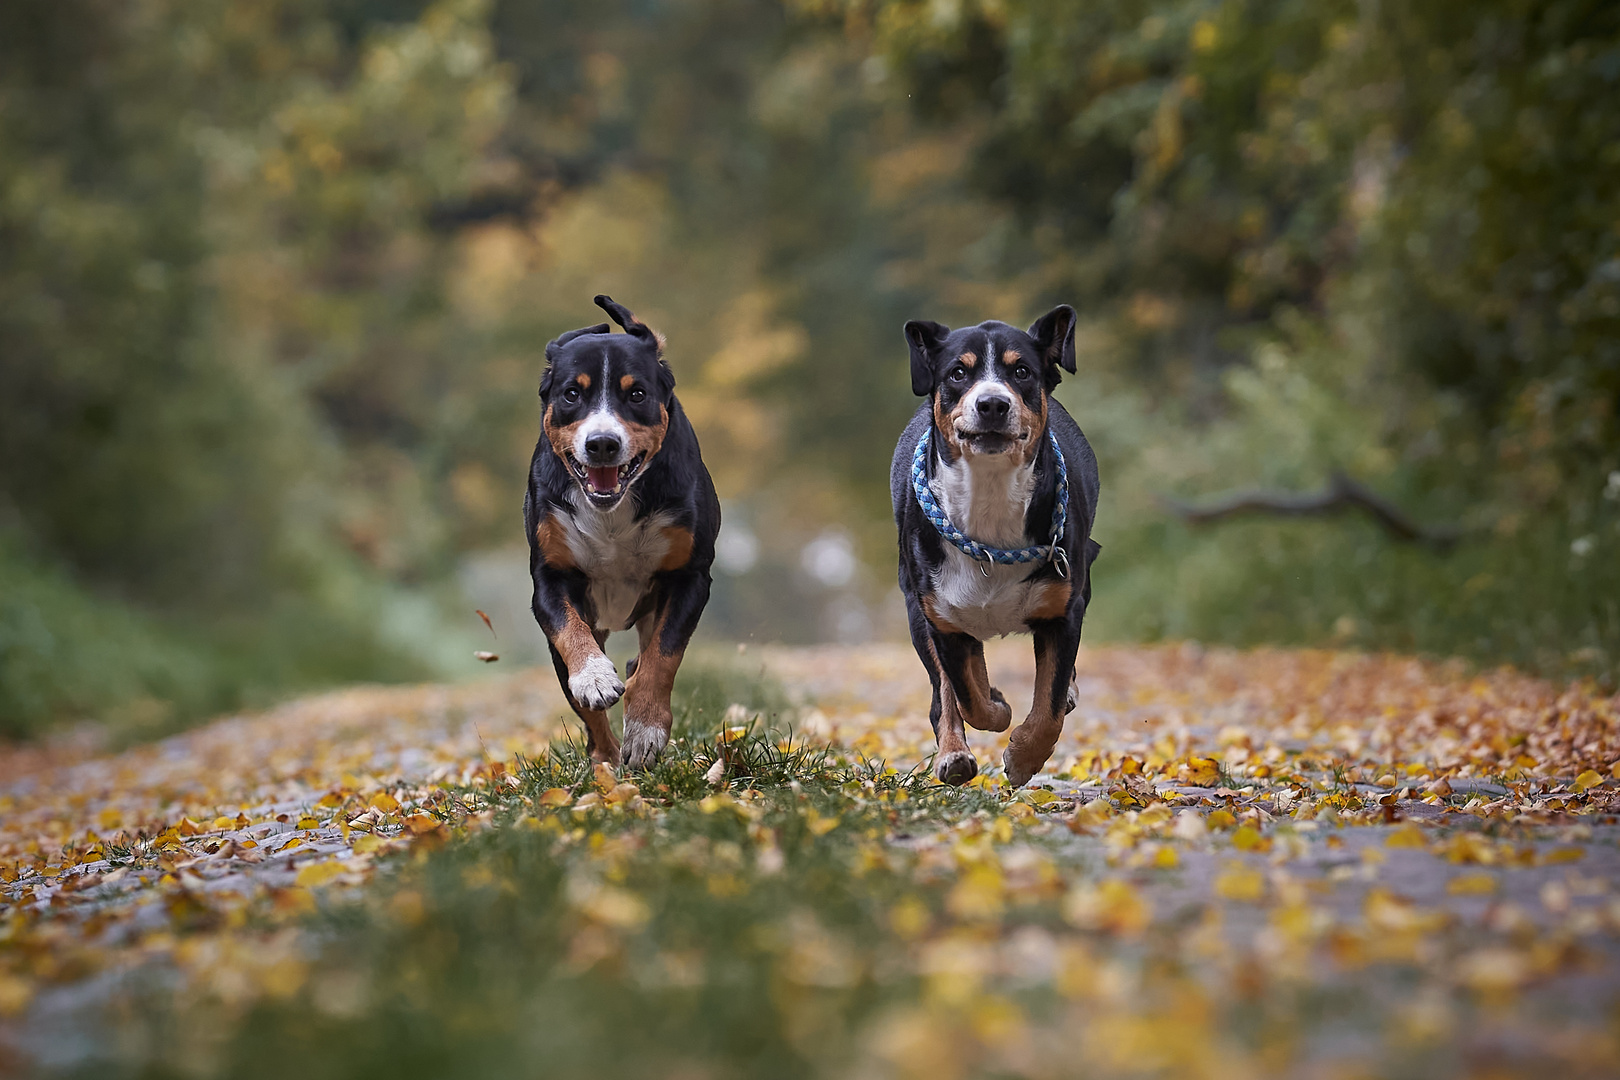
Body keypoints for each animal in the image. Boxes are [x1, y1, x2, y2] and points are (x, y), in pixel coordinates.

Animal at [521, 296, 719, 767]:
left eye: (637, 394)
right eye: (572, 393)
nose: (602, 443)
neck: (612, 512)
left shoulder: (690, 576)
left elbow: (663, 655)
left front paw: (646, 729)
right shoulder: (550, 577)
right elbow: (570, 632)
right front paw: (594, 678)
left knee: (643, 660)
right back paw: (605, 760)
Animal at [887, 307, 1101, 790]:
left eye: (1021, 371)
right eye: (958, 373)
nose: (992, 404)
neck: (990, 500)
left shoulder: (1064, 609)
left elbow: (1050, 706)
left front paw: (1023, 757)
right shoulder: (938, 617)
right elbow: (967, 696)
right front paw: (998, 709)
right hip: (918, 611)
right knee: (946, 692)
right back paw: (954, 754)